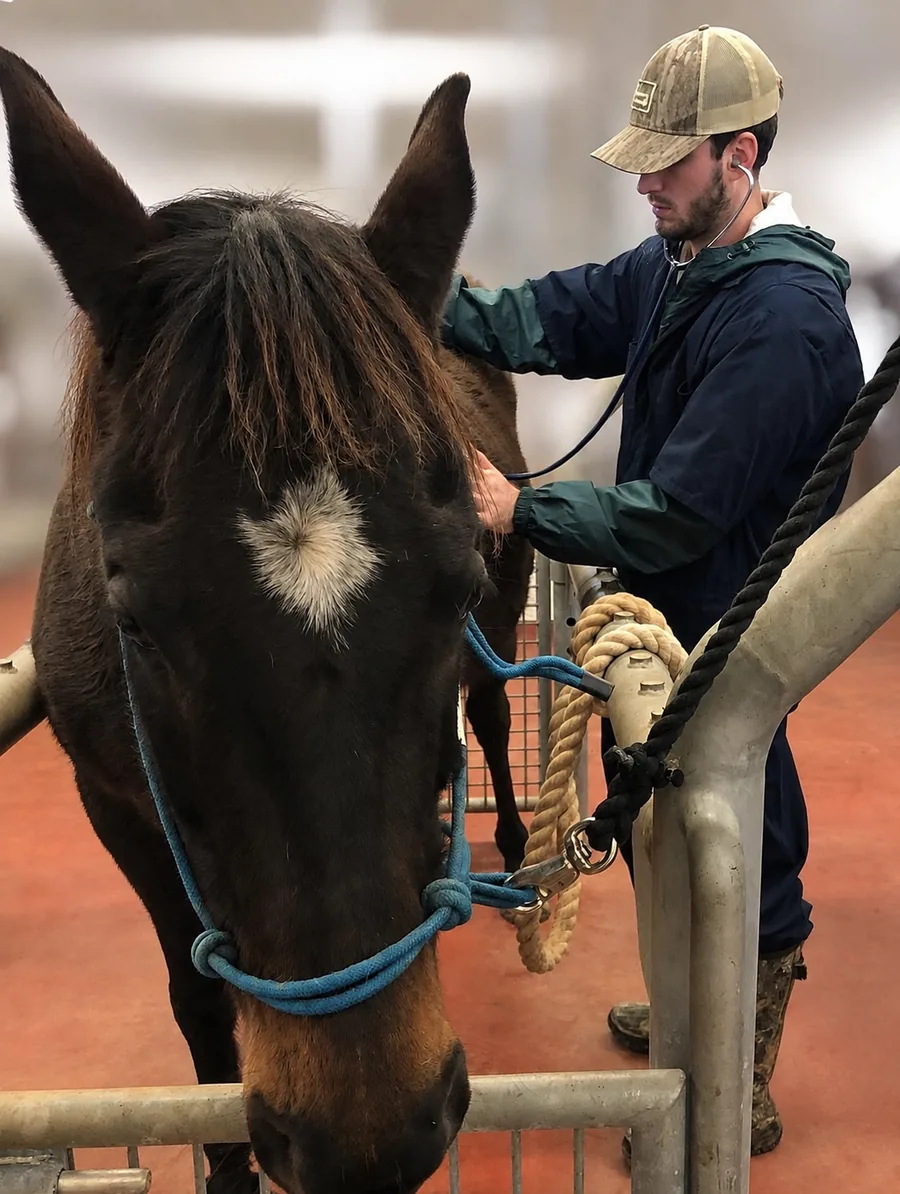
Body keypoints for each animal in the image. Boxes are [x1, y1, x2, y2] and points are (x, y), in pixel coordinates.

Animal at [0, 47, 534, 1194]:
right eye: (132, 614)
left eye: (458, 581)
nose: (372, 1134)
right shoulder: (116, 806)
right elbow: (198, 1000)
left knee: (495, 722)